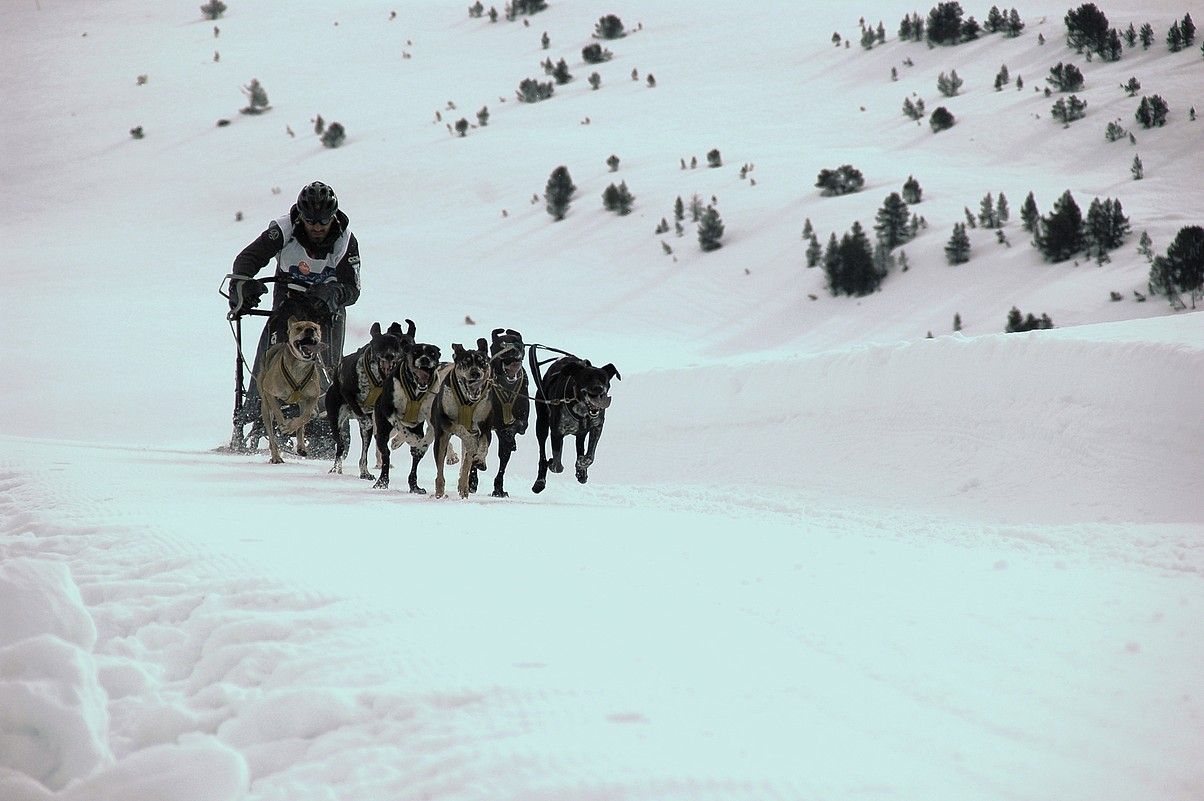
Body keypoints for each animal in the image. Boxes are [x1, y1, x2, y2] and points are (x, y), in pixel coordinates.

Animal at [256, 313, 325, 462]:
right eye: (299, 327)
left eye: (315, 328)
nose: (310, 330)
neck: (299, 368)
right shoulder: (269, 392)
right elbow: (277, 411)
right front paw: (284, 425)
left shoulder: (313, 397)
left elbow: (306, 416)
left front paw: (291, 426)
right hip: (265, 406)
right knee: (271, 434)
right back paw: (276, 456)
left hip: (302, 402)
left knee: (303, 422)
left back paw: (301, 446)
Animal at [325, 320, 414, 481]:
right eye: (380, 345)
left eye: (396, 346)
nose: (390, 355)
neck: (377, 379)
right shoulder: (347, 392)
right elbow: (358, 408)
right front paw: (365, 420)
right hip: (336, 420)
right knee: (340, 446)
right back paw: (336, 468)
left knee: (363, 454)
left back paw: (364, 472)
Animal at [370, 334, 443, 491]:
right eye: (416, 352)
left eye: (432, 353)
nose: (425, 359)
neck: (415, 389)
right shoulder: (389, 411)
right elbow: (402, 429)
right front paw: (407, 439)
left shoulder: (432, 418)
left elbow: (427, 438)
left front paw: (421, 444)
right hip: (382, 431)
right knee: (386, 454)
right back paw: (382, 481)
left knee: (415, 462)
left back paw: (414, 486)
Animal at [428, 339, 493, 501]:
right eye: (466, 362)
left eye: (483, 362)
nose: (476, 373)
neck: (467, 401)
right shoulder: (445, 424)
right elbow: (461, 429)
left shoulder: (485, 427)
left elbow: (483, 446)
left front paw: (480, 459)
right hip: (442, 437)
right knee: (443, 466)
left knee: (466, 463)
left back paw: (463, 486)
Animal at [532, 354, 621, 491]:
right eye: (587, 377)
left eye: (603, 379)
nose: (599, 389)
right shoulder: (556, 433)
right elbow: (557, 465)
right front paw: (552, 463)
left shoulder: (597, 427)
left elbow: (590, 455)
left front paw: (582, 465)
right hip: (541, 424)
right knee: (542, 454)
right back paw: (540, 480)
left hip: (581, 434)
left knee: (580, 447)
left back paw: (582, 472)